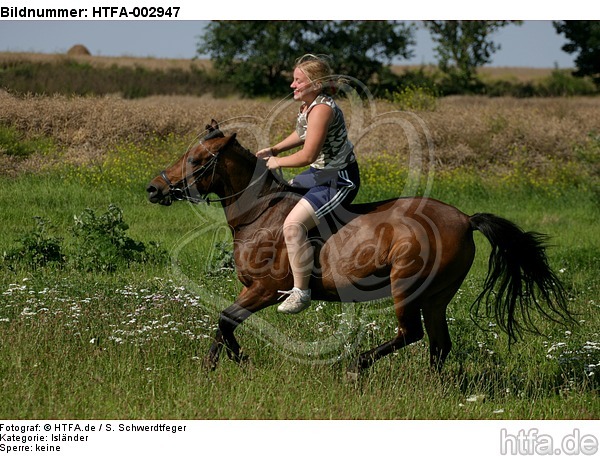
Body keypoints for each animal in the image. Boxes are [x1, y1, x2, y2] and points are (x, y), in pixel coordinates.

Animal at [145, 121, 572, 378]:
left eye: (197, 160)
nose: (153, 189)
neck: (259, 214)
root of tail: (465, 219)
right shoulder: (250, 289)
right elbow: (224, 323)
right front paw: (220, 364)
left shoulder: (266, 289)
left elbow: (225, 318)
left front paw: (234, 362)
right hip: (437, 296)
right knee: (439, 344)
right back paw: (432, 389)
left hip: (406, 287)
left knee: (410, 334)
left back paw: (357, 365)